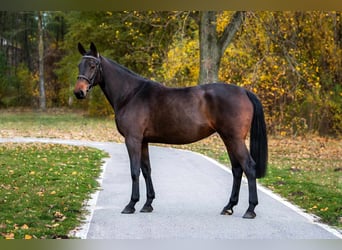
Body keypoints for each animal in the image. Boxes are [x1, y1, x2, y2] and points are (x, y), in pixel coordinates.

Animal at [74, 42, 268, 219]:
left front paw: (131, 204)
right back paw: (229, 207)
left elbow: (135, 171)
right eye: (79, 65)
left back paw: (250, 210)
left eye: (93, 65)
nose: (78, 92)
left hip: (234, 139)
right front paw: (147, 204)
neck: (131, 94)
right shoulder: (143, 141)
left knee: (248, 167)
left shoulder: (133, 139)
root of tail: (244, 91)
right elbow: (146, 170)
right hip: (228, 138)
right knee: (237, 169)